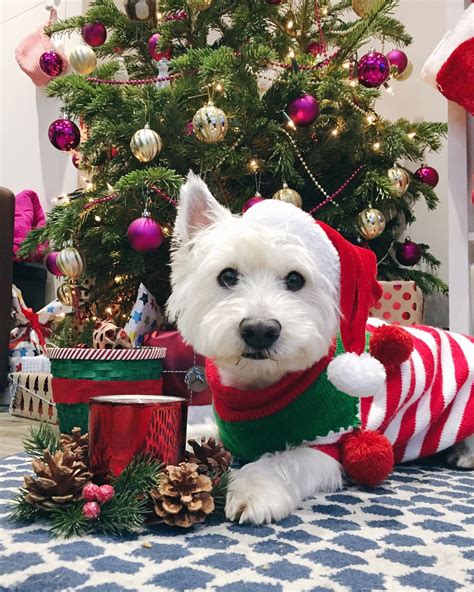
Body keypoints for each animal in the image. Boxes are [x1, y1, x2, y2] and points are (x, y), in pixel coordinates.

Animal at [168, 173, 474, 524]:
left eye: (295, 280)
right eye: (227, 276)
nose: (260, 331)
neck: (261, 385)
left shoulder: (326, 446)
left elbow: (280, 462)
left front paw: (252, 491)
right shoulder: (230, 429)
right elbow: (198, 431)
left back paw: (463, 454)